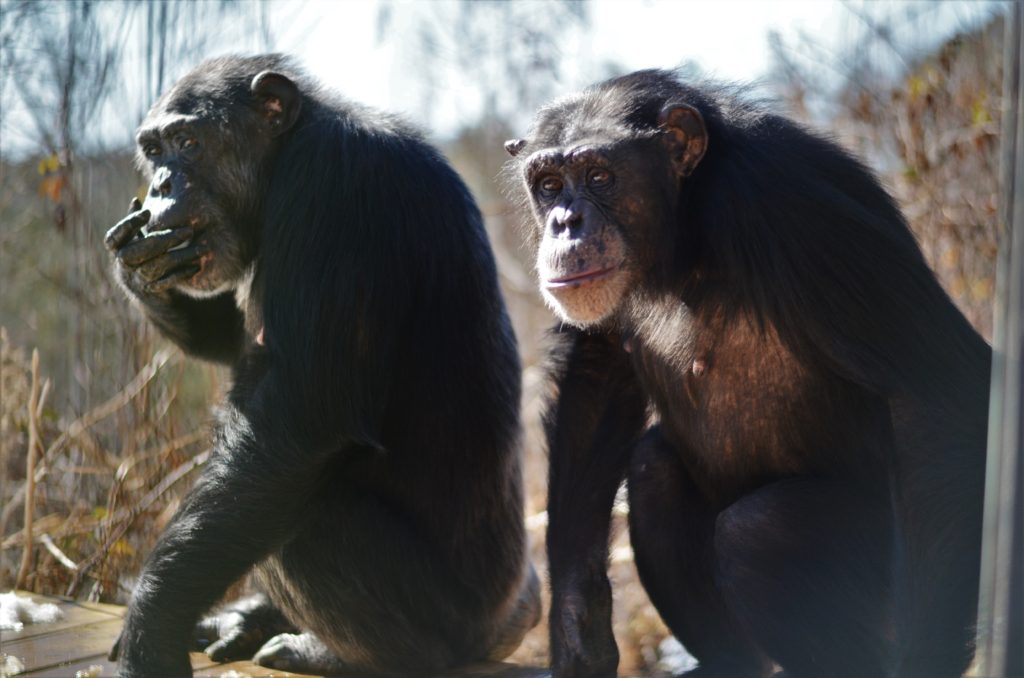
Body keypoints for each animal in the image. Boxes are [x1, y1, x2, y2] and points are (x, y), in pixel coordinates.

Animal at [103, 55, 544, 675]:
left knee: (304, 505)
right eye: (154, 149)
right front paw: (138, 262)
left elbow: (299, 422)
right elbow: (230, 342)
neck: (282, 158)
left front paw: (152, 627)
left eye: (188, 142)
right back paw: (249, 618)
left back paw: (333, 652)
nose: (162, 183)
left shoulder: (336, 192)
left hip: (458, 622)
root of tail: (517, 611)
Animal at [503, 69, 991, 678]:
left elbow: (937, 393)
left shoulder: (789, 206)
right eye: (548, 184)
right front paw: (576, 624)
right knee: (653, 467)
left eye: (599, 175)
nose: (566, 221)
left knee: (758, 528)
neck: (683, 228)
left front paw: (928, 655)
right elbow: (599, 368)